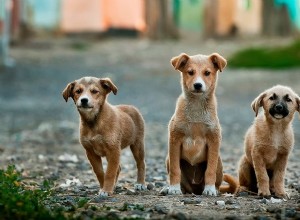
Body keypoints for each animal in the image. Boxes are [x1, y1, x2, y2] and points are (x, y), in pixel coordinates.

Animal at [163, 52, 233, 196]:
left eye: (207, 73)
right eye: (190, 72)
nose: (198, 85)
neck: (196, 106)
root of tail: (195, 189)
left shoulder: (213, 140)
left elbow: (210, 170)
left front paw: (210, 189)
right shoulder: (174, 139)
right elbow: (175, 169)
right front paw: (173, 188)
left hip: (219, 161)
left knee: (216, 181)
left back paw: (213, 189)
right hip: (168, 158)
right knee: (183, 184)